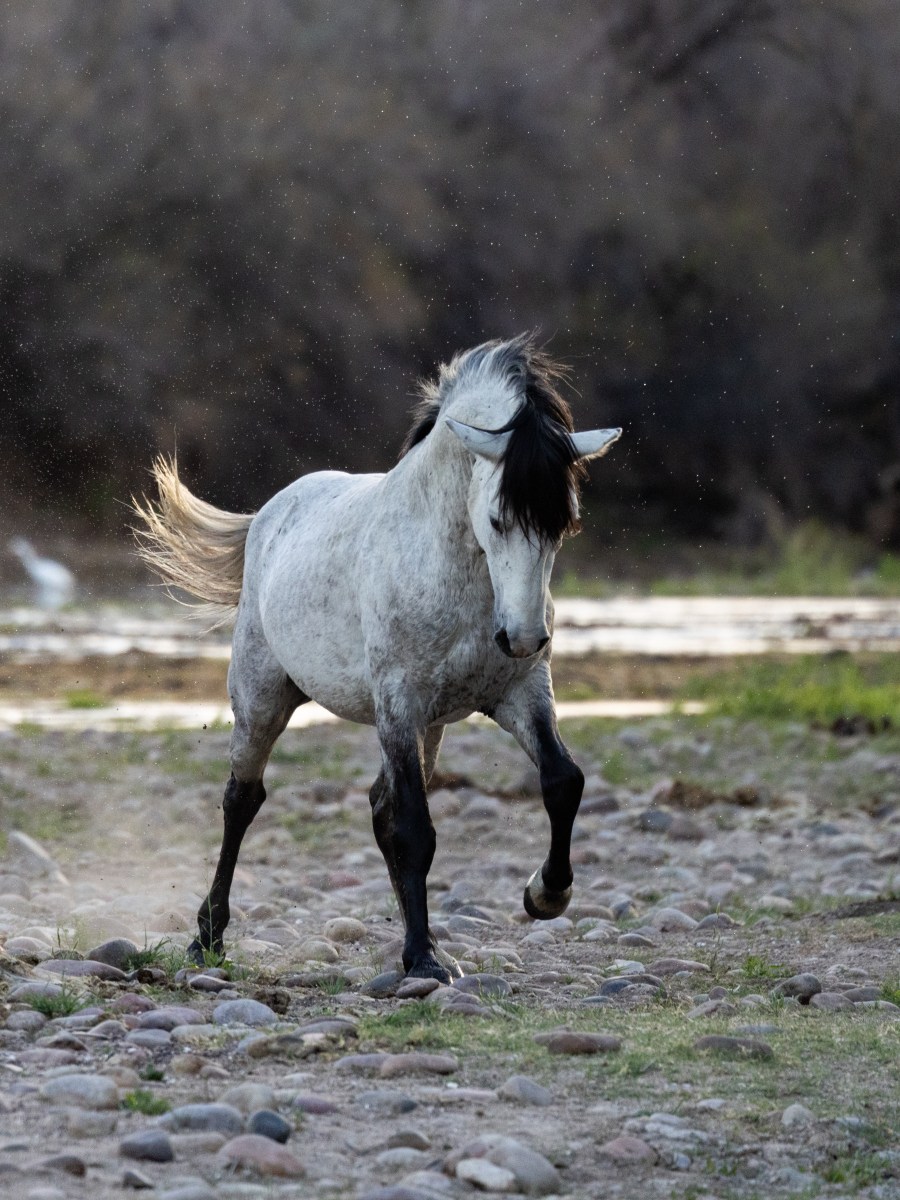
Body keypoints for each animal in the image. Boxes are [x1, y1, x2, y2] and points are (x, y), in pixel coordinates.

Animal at [134, 336, 621, 982]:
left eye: (565, 523)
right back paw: (207, 937)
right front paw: (423, 960)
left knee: (377, 805)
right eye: (497, 519)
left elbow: (563, 782)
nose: (521, 638)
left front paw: (544, 895)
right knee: (243, 799)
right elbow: (414, 829)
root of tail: (271, 513)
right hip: (264, 699)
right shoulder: (398, 703)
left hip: (431, 728)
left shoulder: (519, 694)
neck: (453, 569)